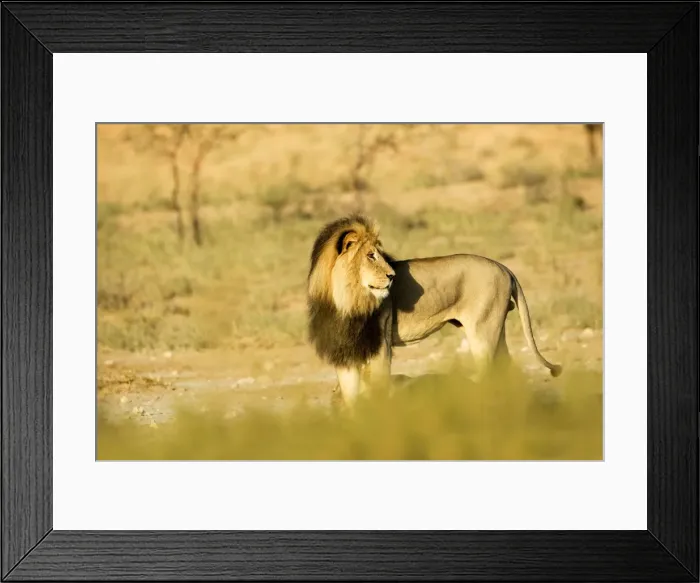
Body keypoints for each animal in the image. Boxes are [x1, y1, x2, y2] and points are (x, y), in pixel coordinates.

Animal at [307, 214, 562, 406]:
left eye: (379, 254)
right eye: (371, 255)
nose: (392, 276)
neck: (345, 300)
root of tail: (504, 267)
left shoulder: (380, 347)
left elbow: (376, 390)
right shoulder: (344, 351)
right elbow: (351, 398)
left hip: (483, 331)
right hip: (495, 330)